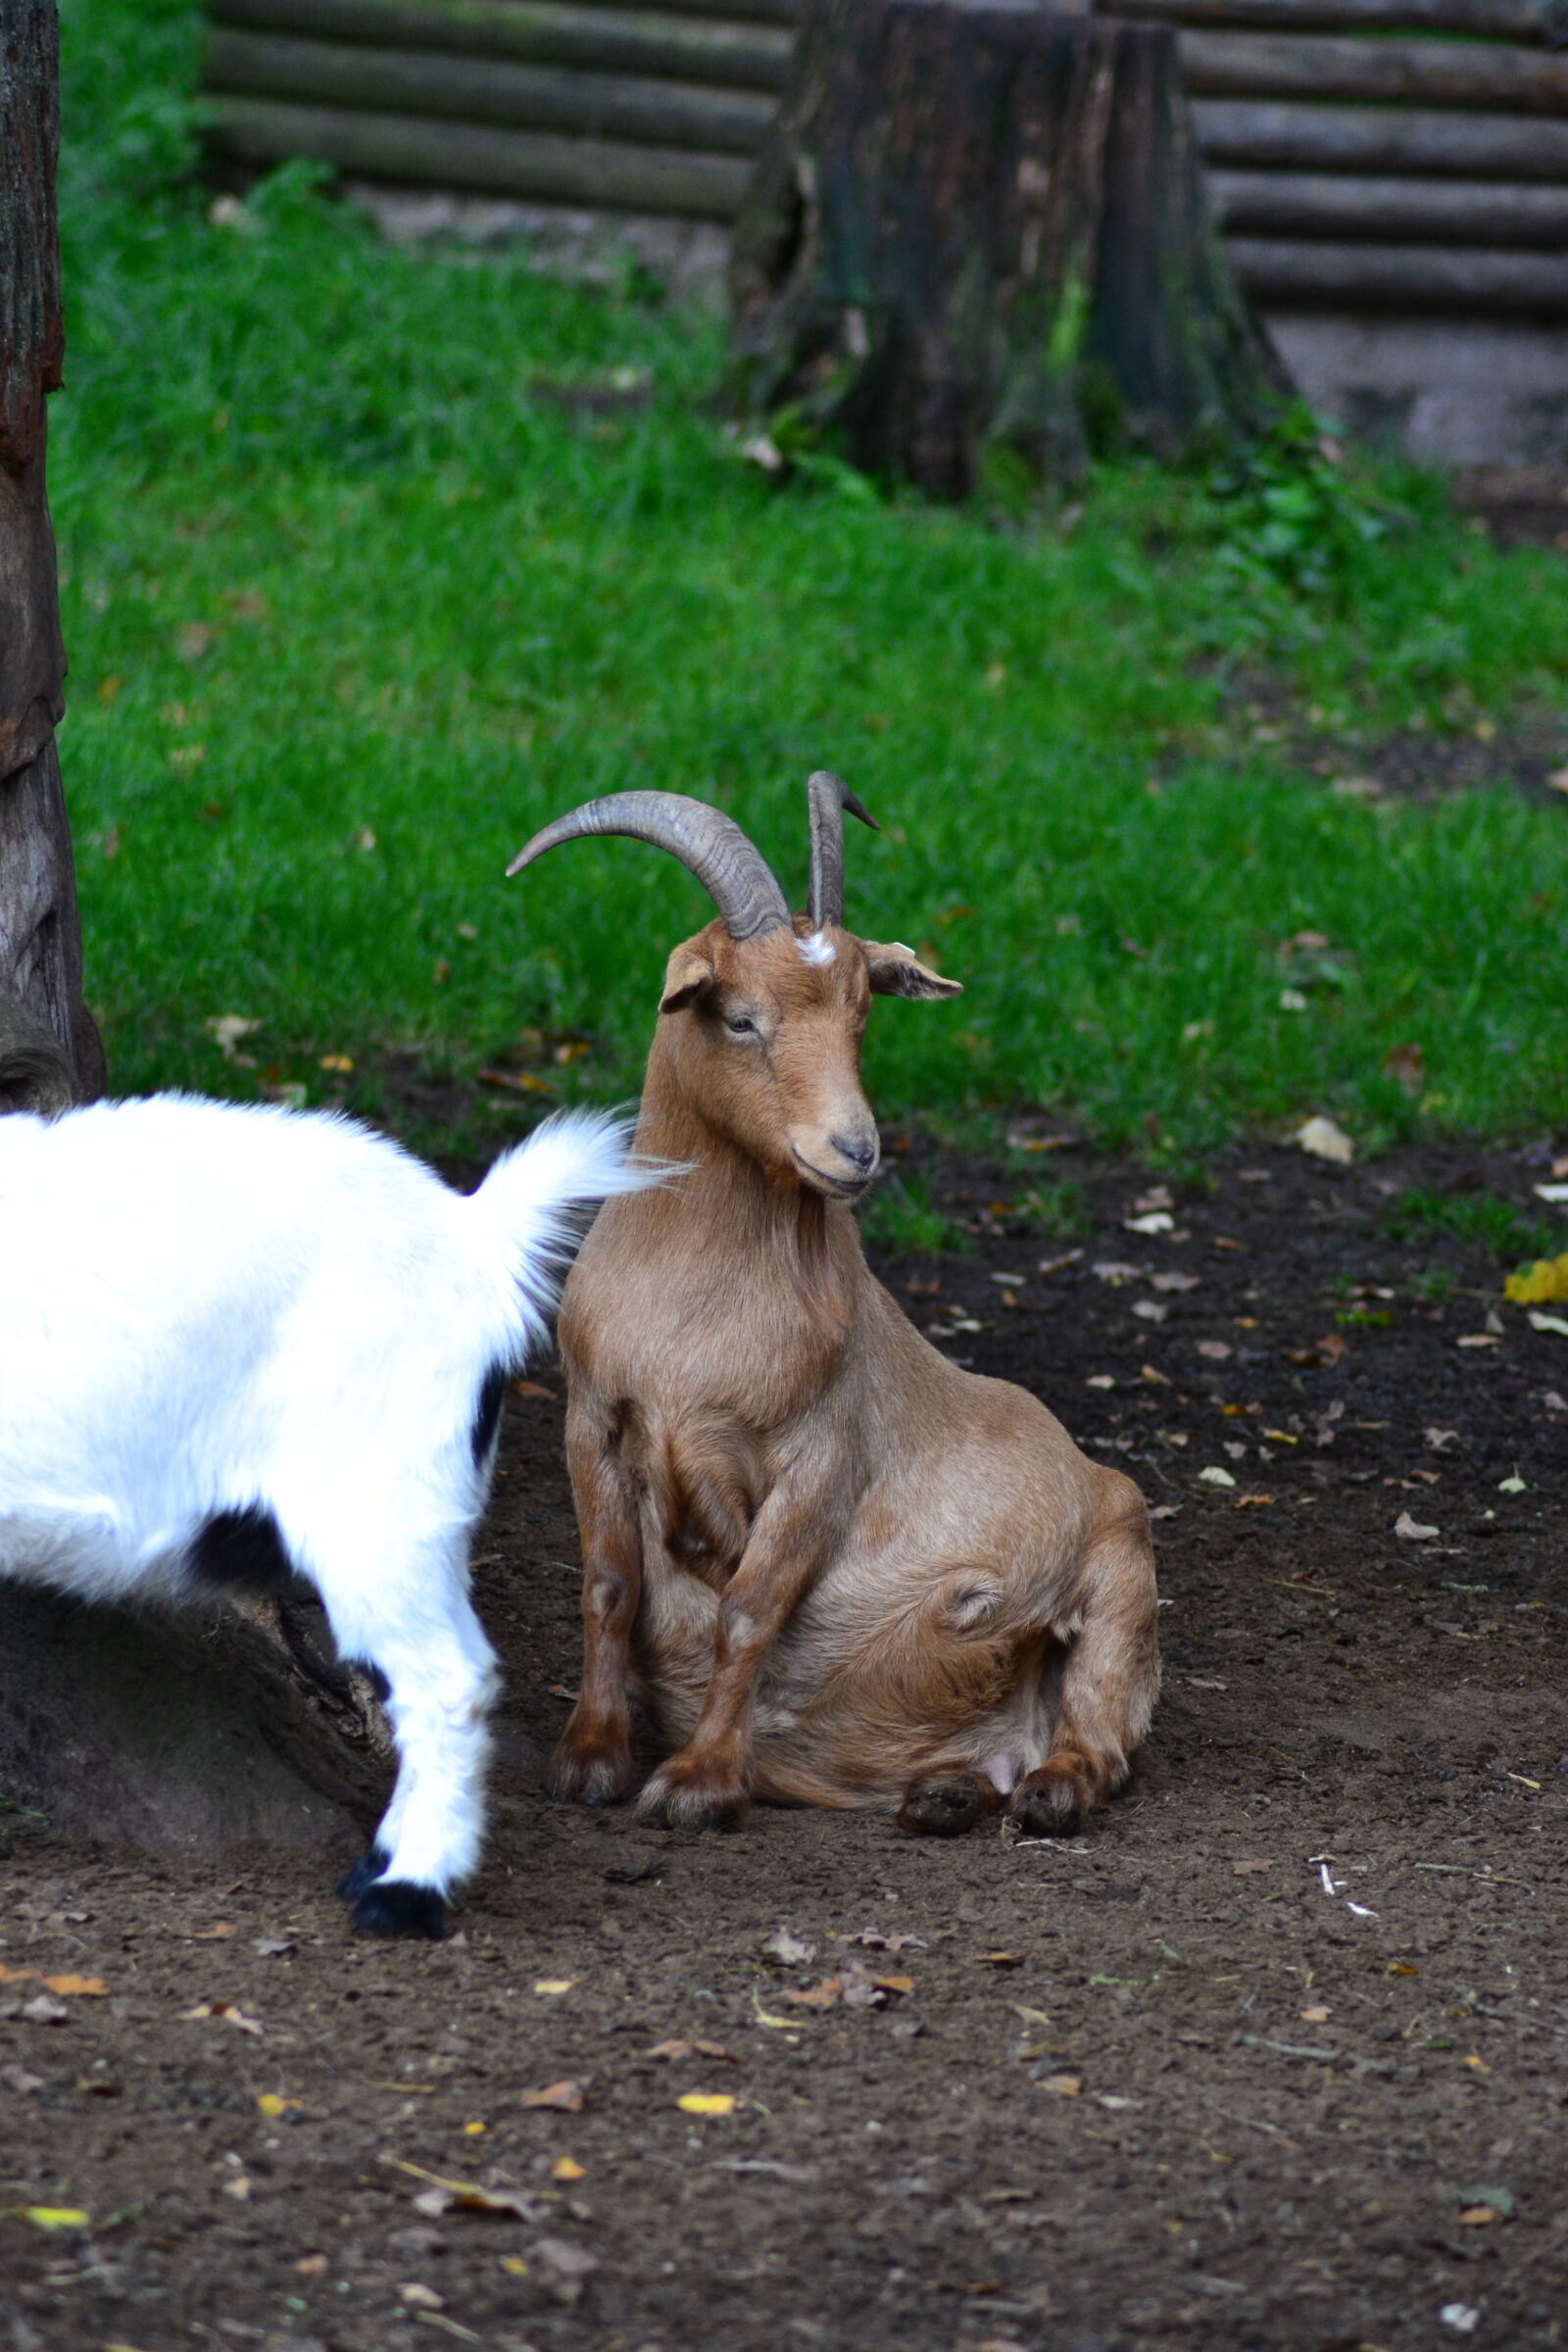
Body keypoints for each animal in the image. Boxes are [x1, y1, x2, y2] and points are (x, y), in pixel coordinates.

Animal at [506, 776, 1159, 1839]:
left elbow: (748, 1610)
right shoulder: (593, 1415)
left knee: (1098, 1730)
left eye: (861, 1016)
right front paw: (590, 1760)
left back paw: (1052, 1788)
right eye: (739, 1018)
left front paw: (697, 1782)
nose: (854, 1151)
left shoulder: (816, 1459)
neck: (697, 1322)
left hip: (1121, 1556)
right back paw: (943, 1792)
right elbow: (608, 1585)